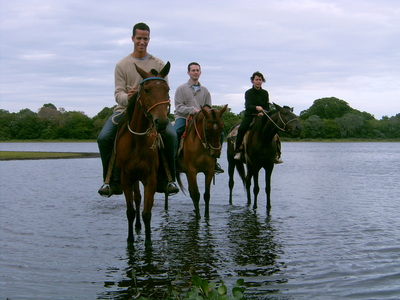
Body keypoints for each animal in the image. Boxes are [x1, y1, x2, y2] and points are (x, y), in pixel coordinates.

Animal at [115, 61, 172, 246]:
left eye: (167, 89)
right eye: (146, 90)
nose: (161, 122)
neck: (137, 141)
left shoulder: (150, 179)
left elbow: (147, 213)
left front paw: (148, 243)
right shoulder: (126, 179)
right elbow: (130, 211)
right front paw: (130, 240)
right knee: (136, 199)